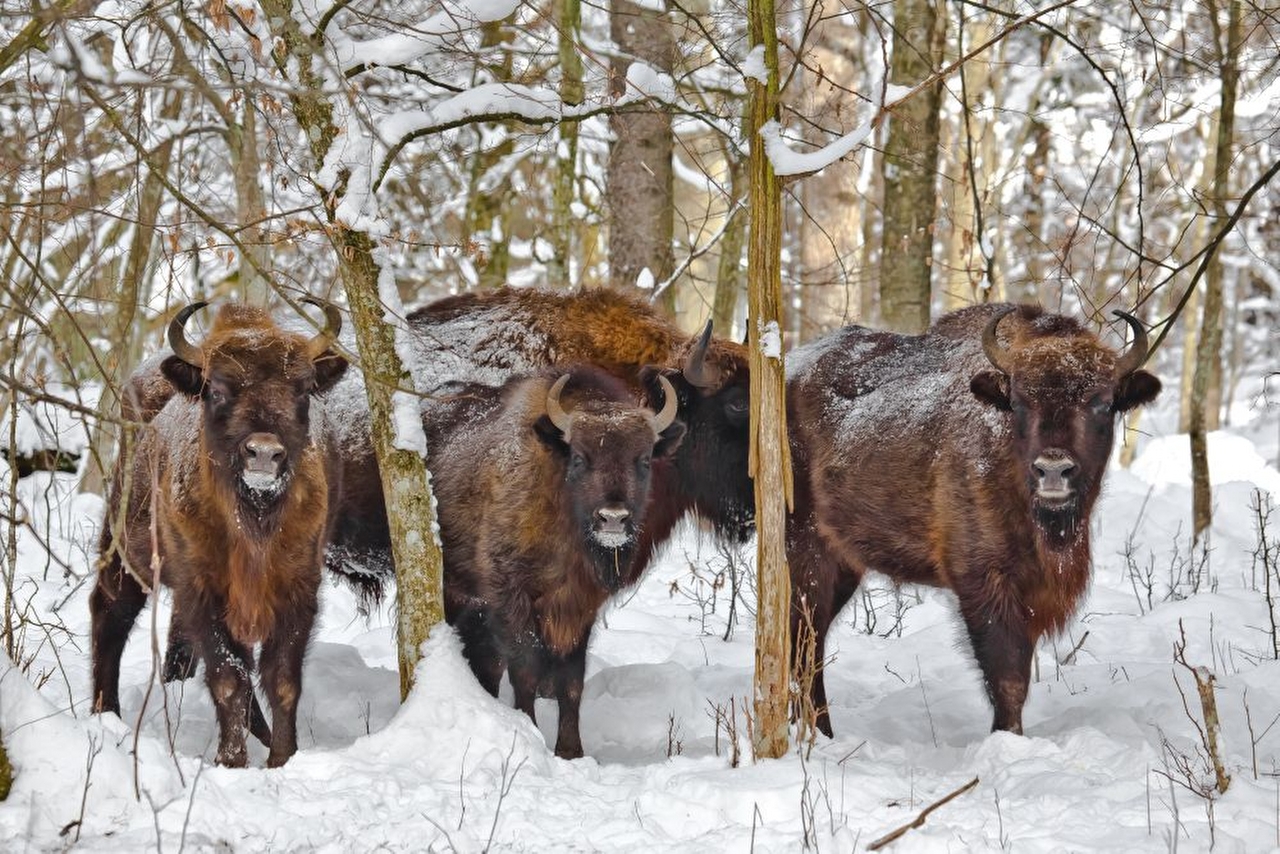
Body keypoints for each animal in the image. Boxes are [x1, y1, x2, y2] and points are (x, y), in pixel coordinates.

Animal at [88, 300, 350, 768]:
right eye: (218, 390)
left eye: (302, 390)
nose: (263, 453)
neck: (254, 523)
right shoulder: (206, 589)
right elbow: (229, 676)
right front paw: (232, 760)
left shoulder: (298, 588)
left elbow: (281, 678)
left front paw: (282, 757)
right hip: (125, 546)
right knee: (110, 612)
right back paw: (106, 714)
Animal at [427, 363, 691, 757]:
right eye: (579, 457)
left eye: (644, 460)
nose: (613, 518)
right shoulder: (513, 597)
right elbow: (526, 669)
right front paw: (530, 733)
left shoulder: (579, 607)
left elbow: (572, 680)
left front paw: (570, 751)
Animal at [783, 303, 1167, 737]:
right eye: (1019, 402)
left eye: (1101, 403)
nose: (1053, 470)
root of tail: (790, 370)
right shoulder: (984, 583)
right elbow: (1007, 677)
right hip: (807, 550)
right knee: (805, 639)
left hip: (845, 564)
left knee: (809, 643)